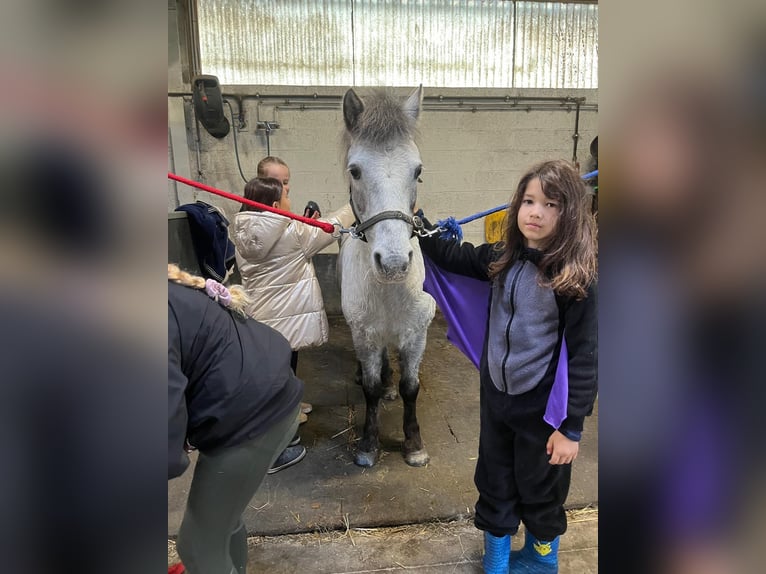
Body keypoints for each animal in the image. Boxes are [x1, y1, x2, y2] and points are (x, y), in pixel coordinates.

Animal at [338, 86, 436, 468]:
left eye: (418, 170)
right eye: (355, 171)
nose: (394, 263)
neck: (391, 290)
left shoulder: (416, 334)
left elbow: (411, 387)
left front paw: (414, 444)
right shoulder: (365, 335)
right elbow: (370, 388)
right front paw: (368, 445)